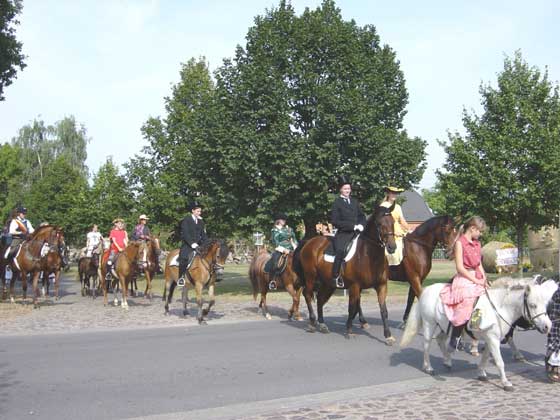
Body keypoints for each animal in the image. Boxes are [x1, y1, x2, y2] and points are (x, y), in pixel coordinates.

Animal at [294, 205, 398, 342]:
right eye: (380, 224)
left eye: (393, 222)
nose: (392, 247)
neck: (369, 256)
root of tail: (309, 242)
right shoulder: (355, 286)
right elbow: (352, 308)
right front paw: (349, 331)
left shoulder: (381, 286)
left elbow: (383, 310)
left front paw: (388, 336)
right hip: (310, 277)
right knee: (307, 294)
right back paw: (312, 322)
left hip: (327, 283)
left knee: (320, 299)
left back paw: (322, 324)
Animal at [400, 278, 556, 390]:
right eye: (532, 305)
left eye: (545, 304)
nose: (547, 326)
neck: (498, 308)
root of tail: (426, 290)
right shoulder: (493, 339)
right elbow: (499, 362)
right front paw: (506, 383)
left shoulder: (490, 339)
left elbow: (486, 357)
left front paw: (481, 373)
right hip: (429, 323)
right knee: (426, 344)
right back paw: (429, 367)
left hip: (444, 326)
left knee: (440, 339)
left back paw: (447, 361)